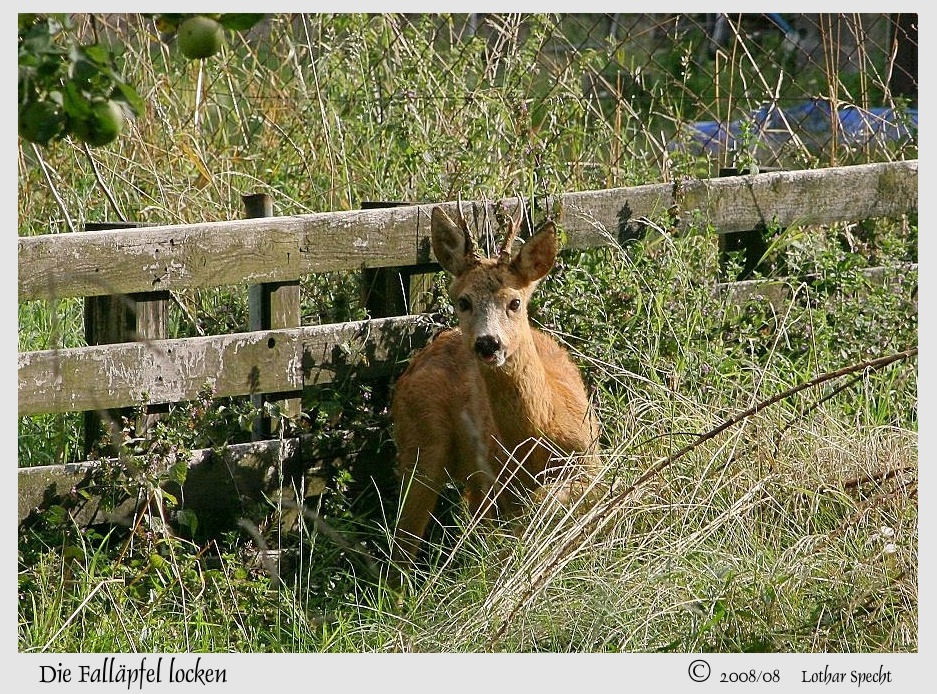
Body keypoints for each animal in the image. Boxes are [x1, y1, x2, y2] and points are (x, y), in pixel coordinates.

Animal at [388, 200, 600, 576]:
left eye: (514, 302)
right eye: (463, 301)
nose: (488, 343)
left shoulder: (594, 465)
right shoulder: (493, 483)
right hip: (421, 445)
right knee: (404, 543)